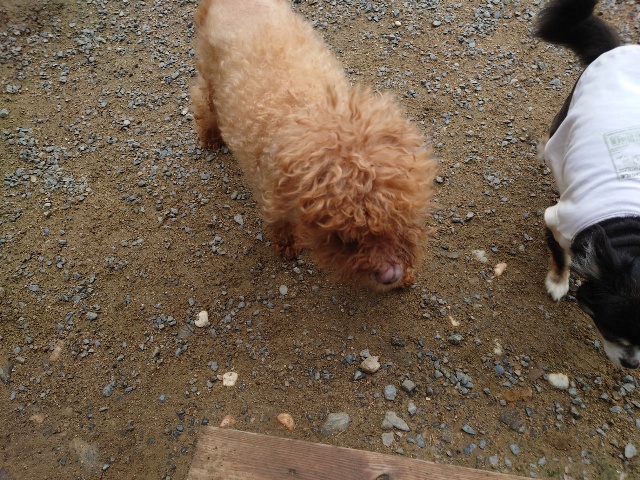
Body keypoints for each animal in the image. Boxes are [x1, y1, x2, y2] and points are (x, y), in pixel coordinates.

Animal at [191, 0, 437, 291]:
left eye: (398, 218)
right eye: (346, 238)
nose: (391, 276)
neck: (316, 118)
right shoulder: (273, 195)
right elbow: (279, 224)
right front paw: (287, 245)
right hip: (208, 68)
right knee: (202, 99)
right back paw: (210, 137)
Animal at [536, 0, 640, 368]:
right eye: (610, 330)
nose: (632, 364)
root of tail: (617, 49)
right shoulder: (558, 222)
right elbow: (560, 256)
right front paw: (558, 282)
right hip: (568, 111)